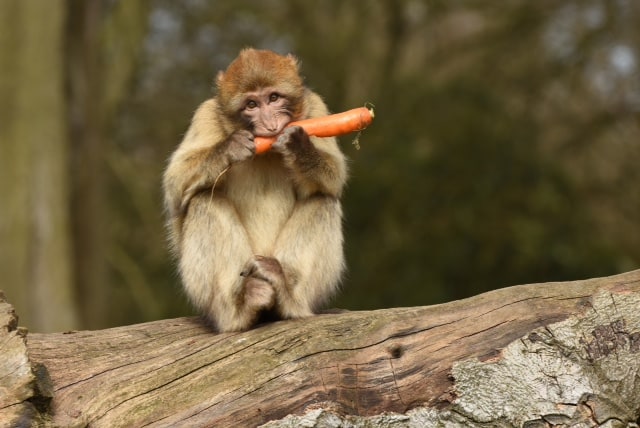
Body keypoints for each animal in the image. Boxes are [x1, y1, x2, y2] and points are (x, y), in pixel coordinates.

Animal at [162, 48, 348, 332]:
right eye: (251, 105)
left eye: (273, 98)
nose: (270, 123)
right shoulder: (205, 116)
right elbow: (175, 183)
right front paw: (231, 147)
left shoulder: (317, 107)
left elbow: (335, 175)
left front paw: (297, 146)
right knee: (203, 201)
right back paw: (241, 307)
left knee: (323, 200)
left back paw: (286, 293)